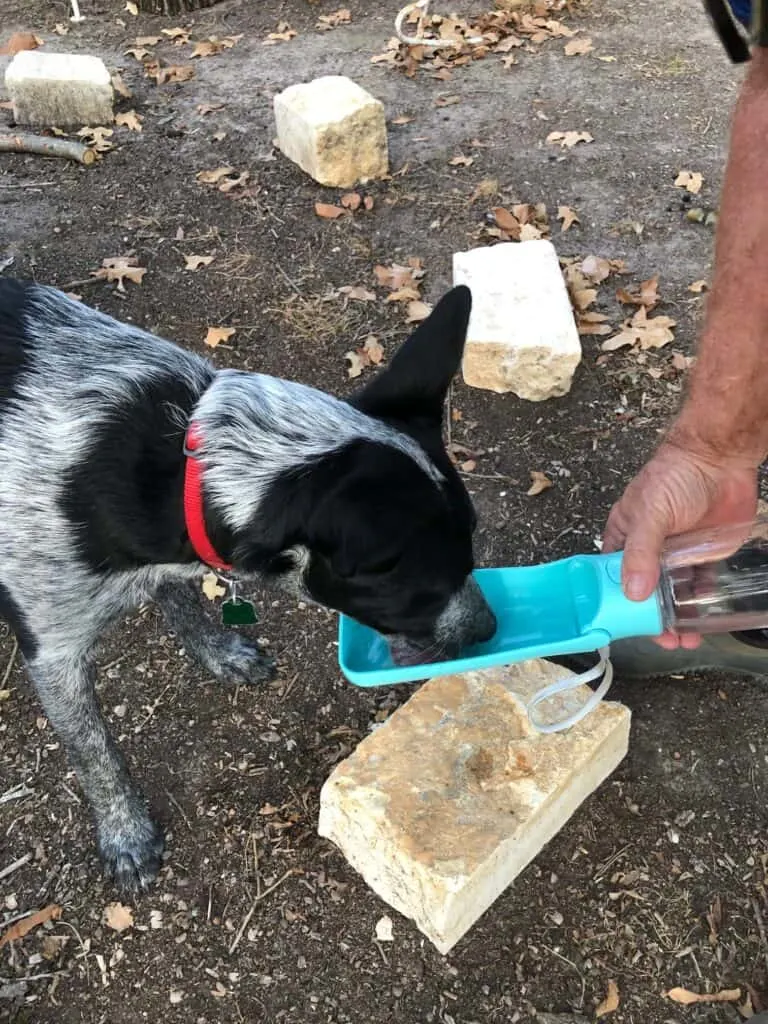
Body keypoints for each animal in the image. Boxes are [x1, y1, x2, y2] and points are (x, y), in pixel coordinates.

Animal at [0, 278, 495, 888]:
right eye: (417, 587)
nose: (490, 627)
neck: (183, 463)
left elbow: (180, 597)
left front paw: (219, 652)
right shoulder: (52, 651)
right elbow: (94, 750)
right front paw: (126, 833)